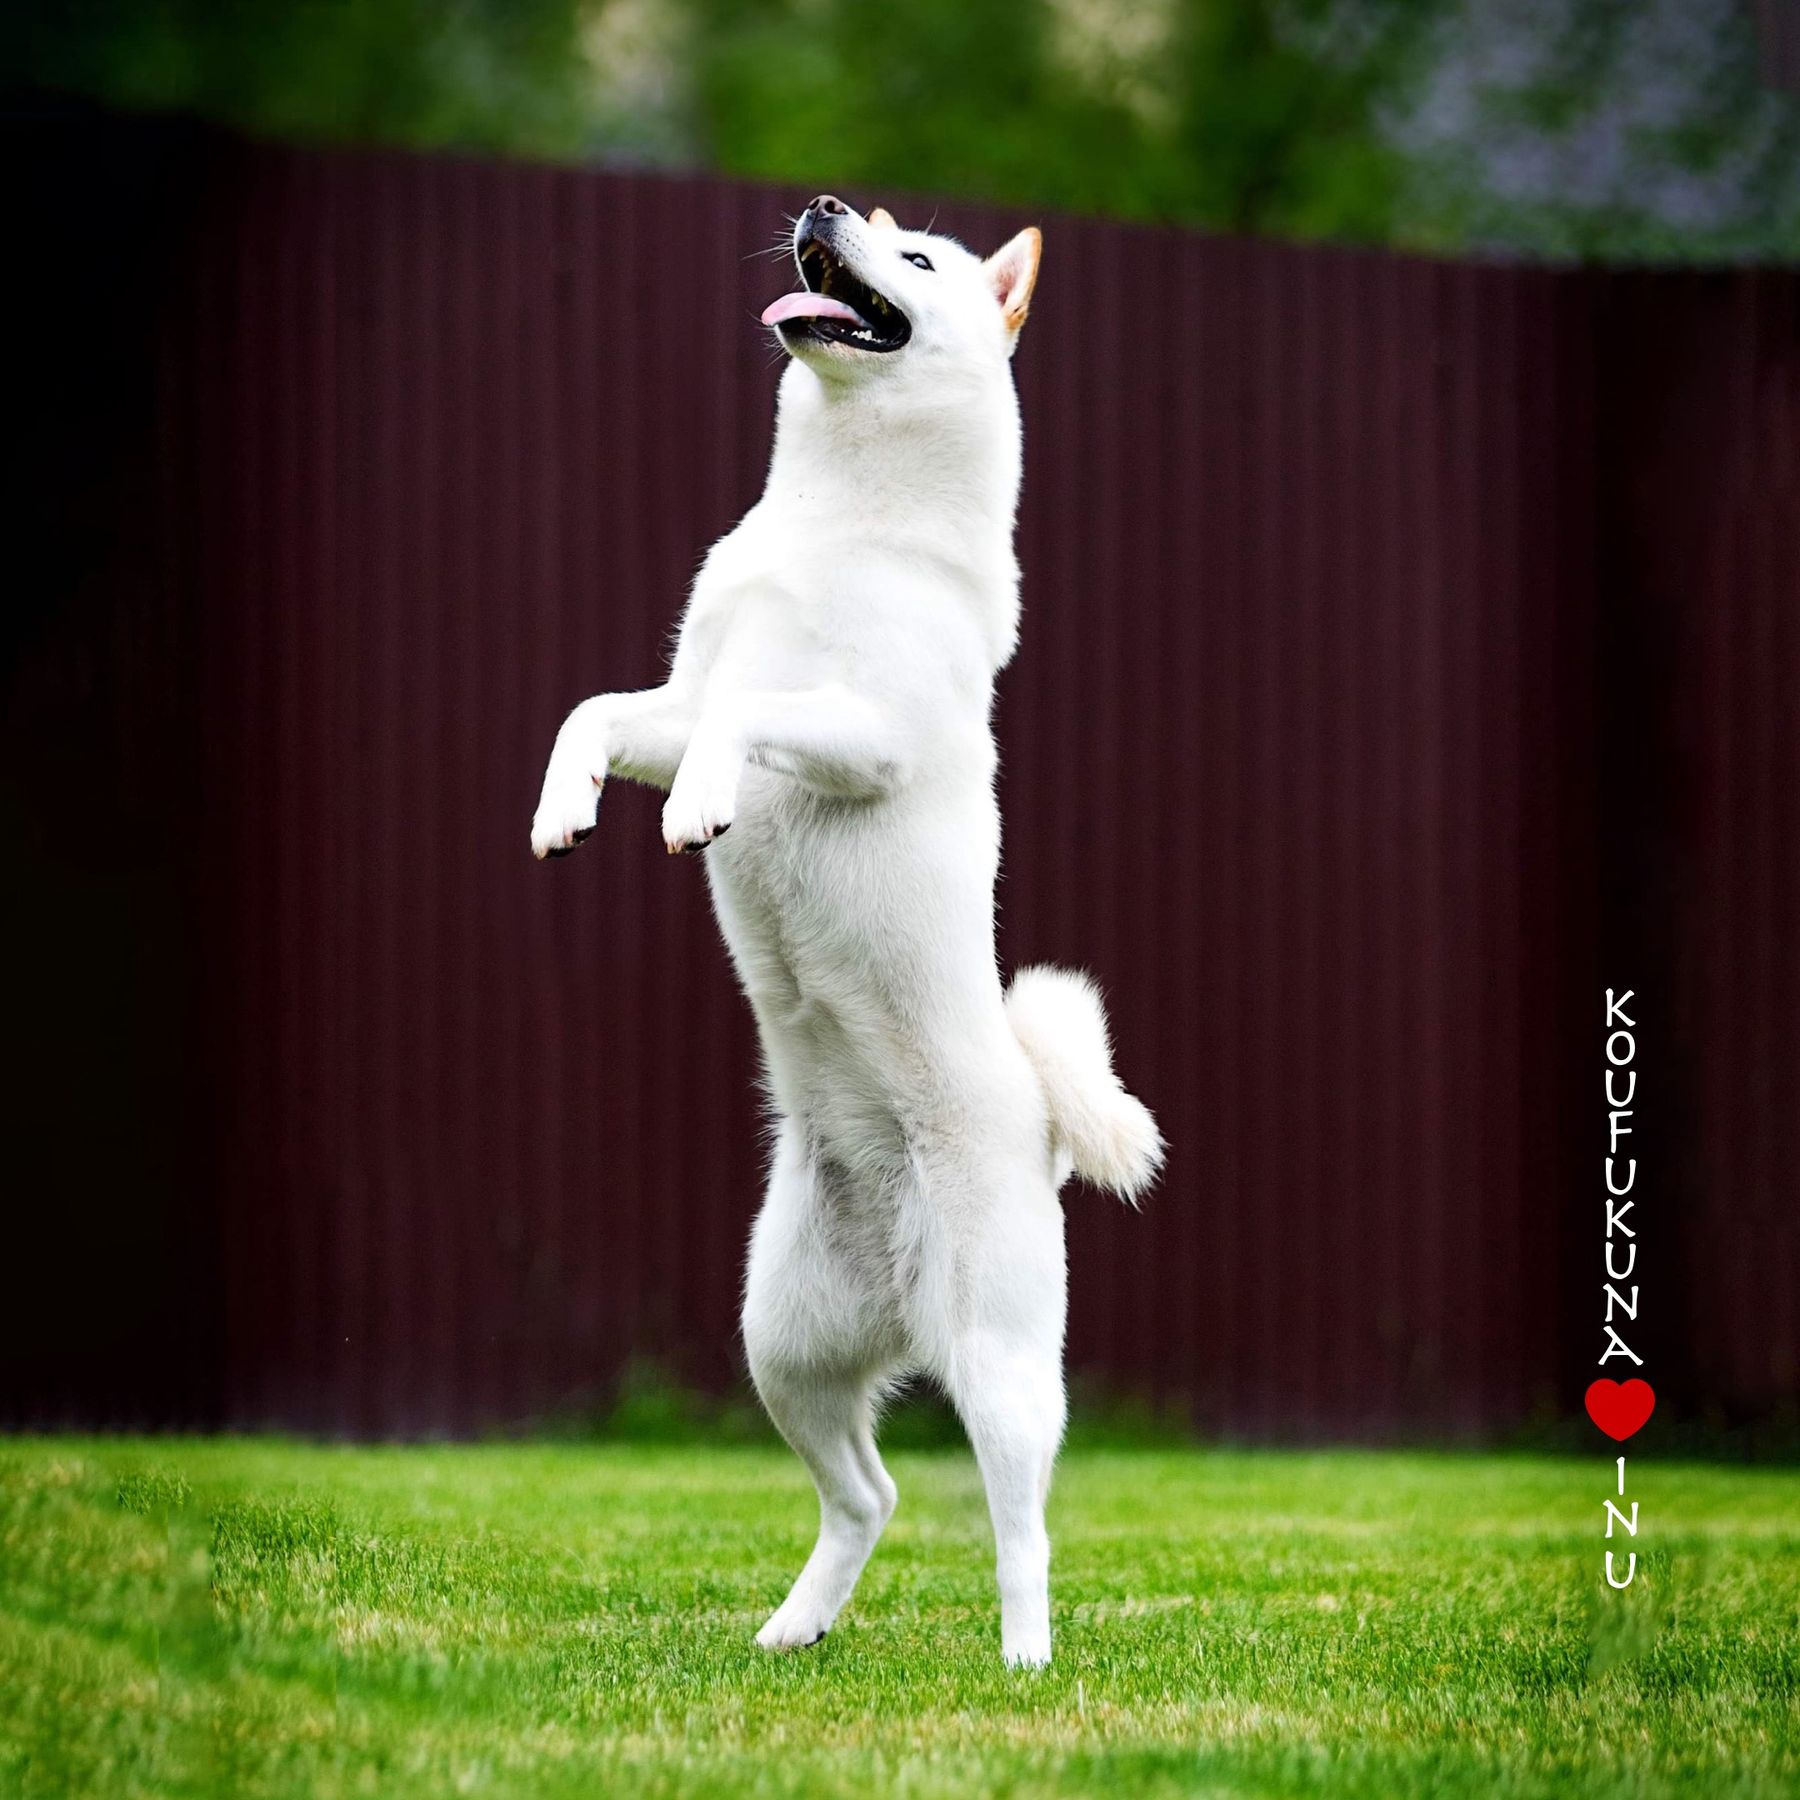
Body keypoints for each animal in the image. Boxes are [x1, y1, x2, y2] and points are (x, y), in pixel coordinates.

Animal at [525, 193, 1159, 1656]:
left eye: (914, 257)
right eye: (871, 219)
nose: (820, 208)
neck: (840, 513)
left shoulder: (866, 734)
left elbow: (746, 715)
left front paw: (705, 805)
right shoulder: (669, 694)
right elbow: (603, 710)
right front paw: (563, 809)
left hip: (1001, 1367)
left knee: (1023, 1527)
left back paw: (1026, 1659)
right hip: (785, 1350)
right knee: (867, 1494)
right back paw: (793, 1628)